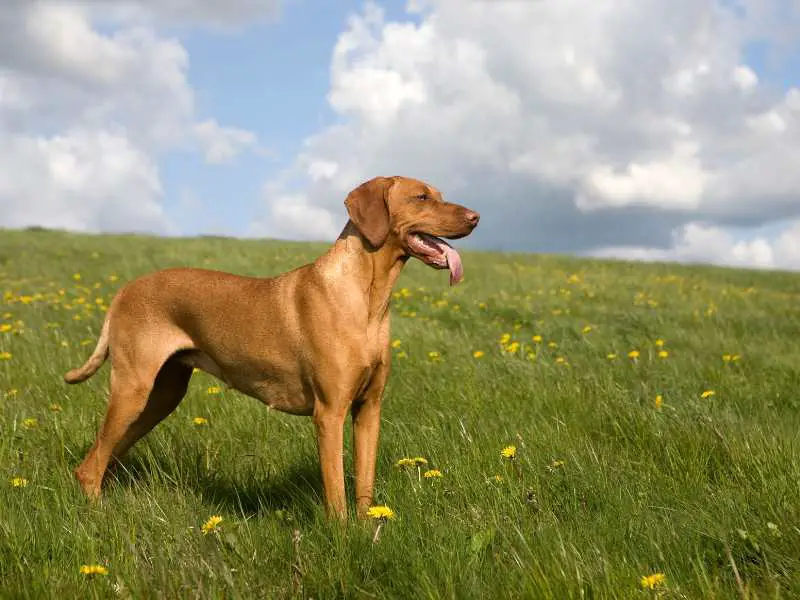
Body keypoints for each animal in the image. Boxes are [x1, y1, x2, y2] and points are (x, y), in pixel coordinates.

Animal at [64, 175, 482, 520]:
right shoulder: (329, 413)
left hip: (161, 397)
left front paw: (368, 534)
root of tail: (125, 289)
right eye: (421, 197)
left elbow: (364, 485)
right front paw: (343, 538)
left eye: (439, 194)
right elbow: (336, 493)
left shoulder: (369, 409)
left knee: (105, 456)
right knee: (90, 467)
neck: (367, 299)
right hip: (133, 389)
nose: (476, 217)